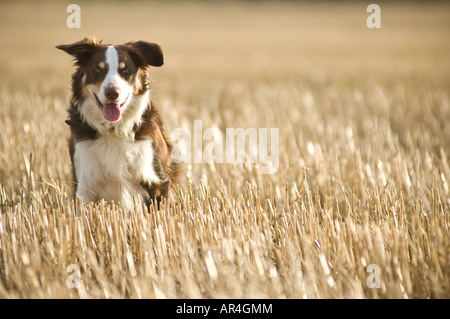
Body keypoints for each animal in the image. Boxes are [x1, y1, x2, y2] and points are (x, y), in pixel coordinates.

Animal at [55, 37, 177, 212]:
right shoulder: (85, 185)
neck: (112, 129)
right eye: (96, 69)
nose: (112, 93)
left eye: (125, 70)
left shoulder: (158, 180)